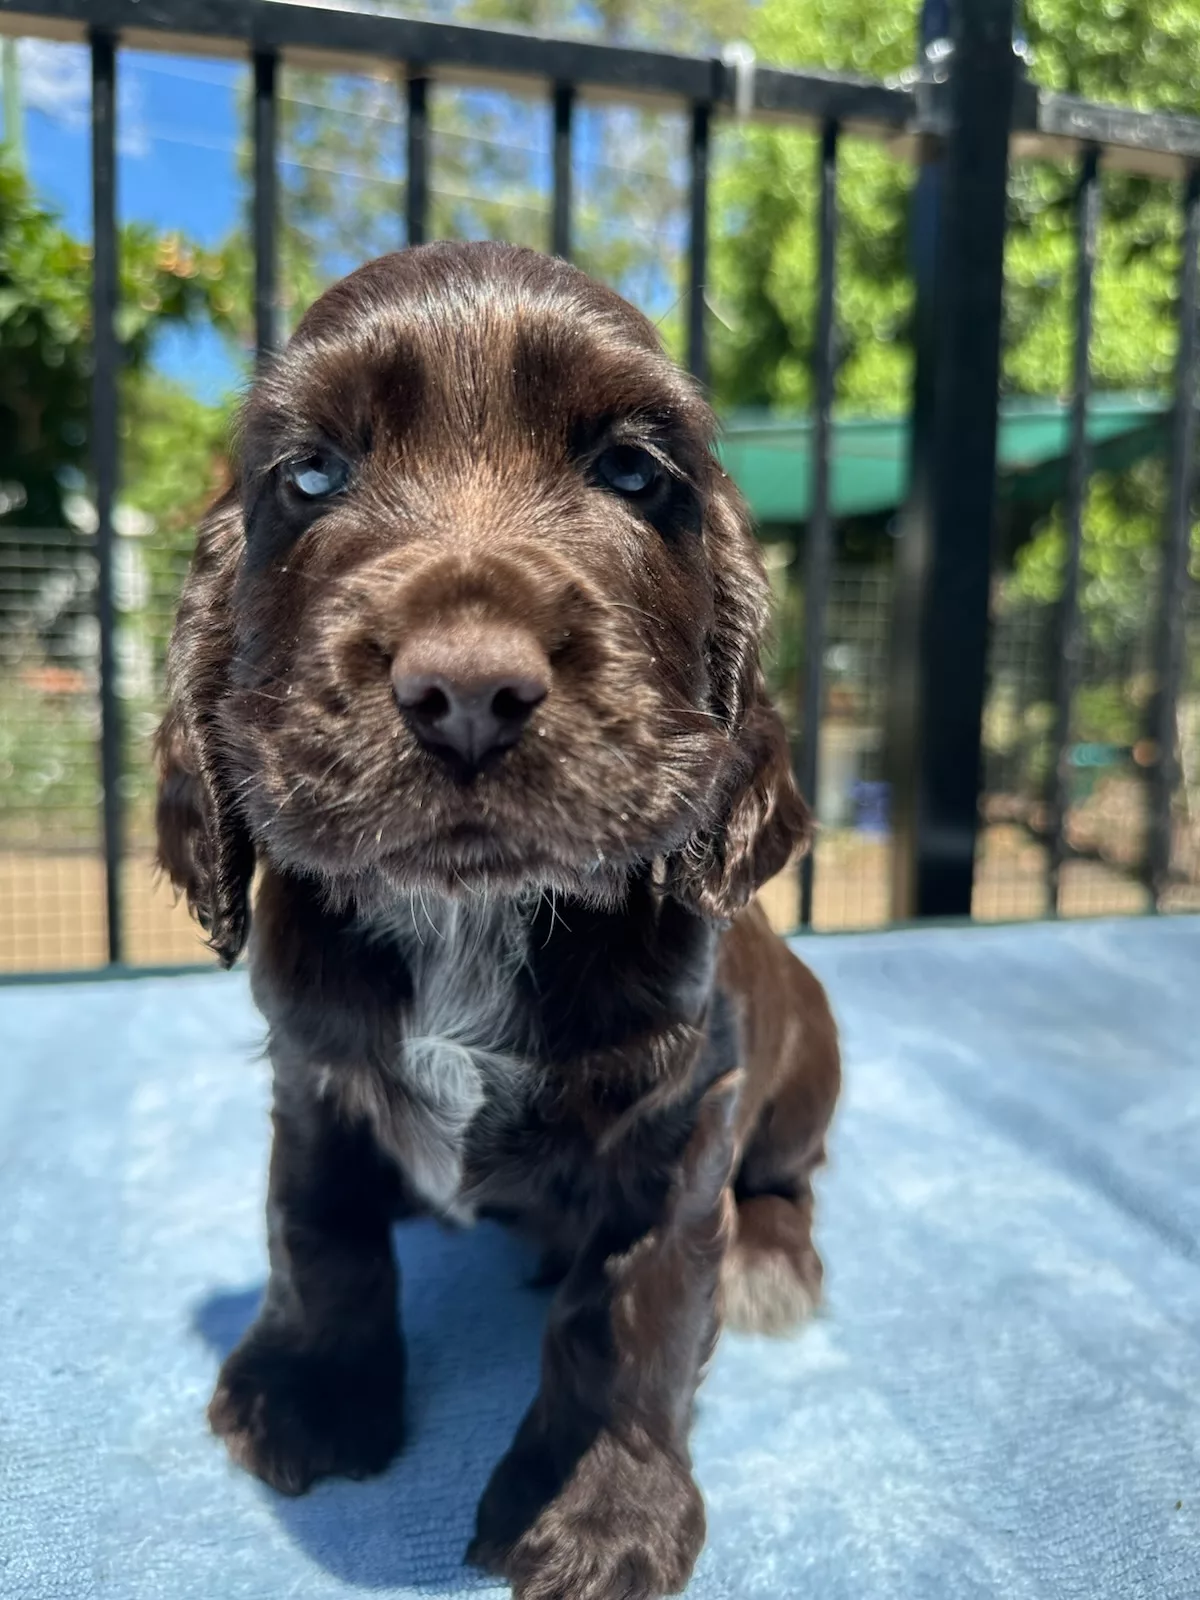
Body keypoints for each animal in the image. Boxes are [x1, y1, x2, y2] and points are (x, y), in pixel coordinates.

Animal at [156, 241, 840, 1600]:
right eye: (311, 473)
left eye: (632, 470)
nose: (466, 690)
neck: (469, 918)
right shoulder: (313, 1072)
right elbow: (318, 1230)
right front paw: (308, 1390)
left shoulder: (680, 1118)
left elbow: (626, 1313)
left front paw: (593, 1510)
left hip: (809, 1063)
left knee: (792, 1176)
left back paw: (772, 1257)